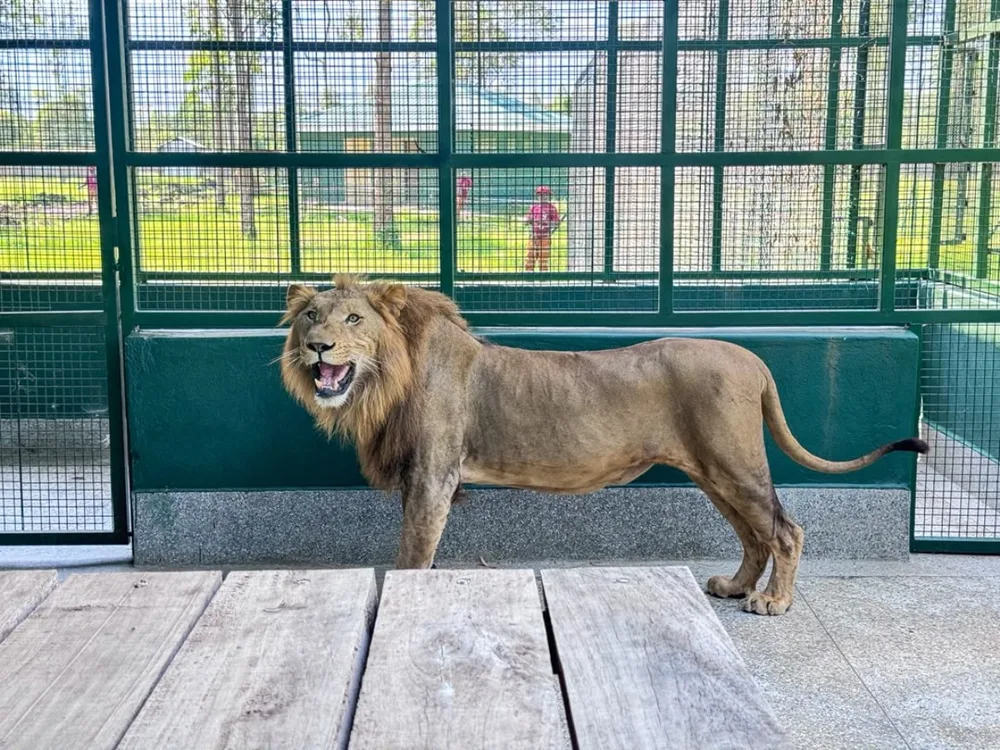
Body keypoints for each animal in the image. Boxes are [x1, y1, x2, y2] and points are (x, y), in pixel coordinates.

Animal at [280, 276, 927, 616]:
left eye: (353, 319)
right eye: (310, 315)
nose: (317, 346)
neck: (385, 380)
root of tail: (751, 357)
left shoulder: (432, 478)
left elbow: (412, 557)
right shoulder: (423, 481)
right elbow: (424, 554)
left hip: (733, 462)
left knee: (784, 530)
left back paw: (772, 602)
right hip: (712, 471)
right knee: (753, 535)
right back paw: (735, 586)